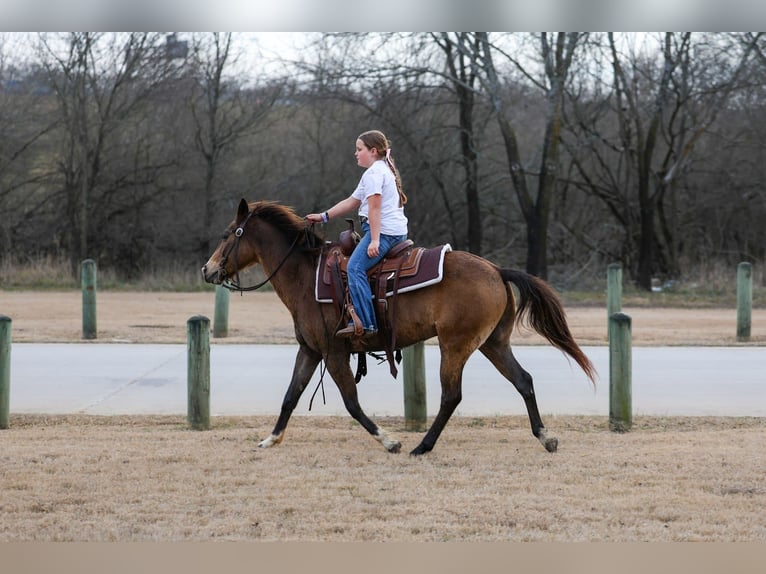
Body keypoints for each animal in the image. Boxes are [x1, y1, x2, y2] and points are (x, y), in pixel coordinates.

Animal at [202, 199, 596, 455]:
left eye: (228, 233)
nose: (208, 269)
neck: (305, 275)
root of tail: (496, 270)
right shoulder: (310, 350)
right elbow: (290, 396)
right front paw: (271, 439)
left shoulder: (333, 353)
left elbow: (351, 402)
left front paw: (389, 440)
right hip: (493, 344)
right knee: (523, 380)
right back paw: (545, 437)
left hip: (455, 345)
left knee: (452, 395)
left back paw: (423, 445)